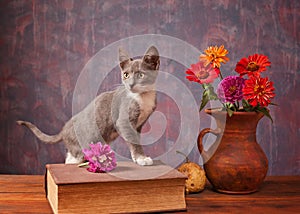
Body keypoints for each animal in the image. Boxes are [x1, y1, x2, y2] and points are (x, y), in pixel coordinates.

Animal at [17, 45, 161, 166]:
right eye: (126, 74)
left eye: (141, 75)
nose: (130, 84)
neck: (143, 97)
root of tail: (63, 129)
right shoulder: (124, 122)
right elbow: (133, 141)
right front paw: (142, 158)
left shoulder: (138, 125)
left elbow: (136, 139)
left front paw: (139, 157)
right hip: (81, 145)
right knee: (71, 159)